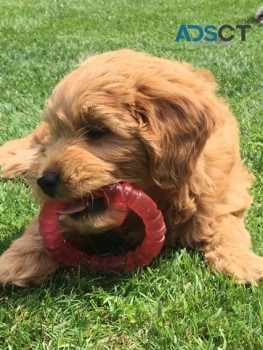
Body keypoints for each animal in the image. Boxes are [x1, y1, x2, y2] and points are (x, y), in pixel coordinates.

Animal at [0, 49, 263, 286]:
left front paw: (242, 262)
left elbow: (223, 222)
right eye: (58, 134)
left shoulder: (223, 190)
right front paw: (16, 261)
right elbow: (41, 227)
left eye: (97, 130)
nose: (45, 181)